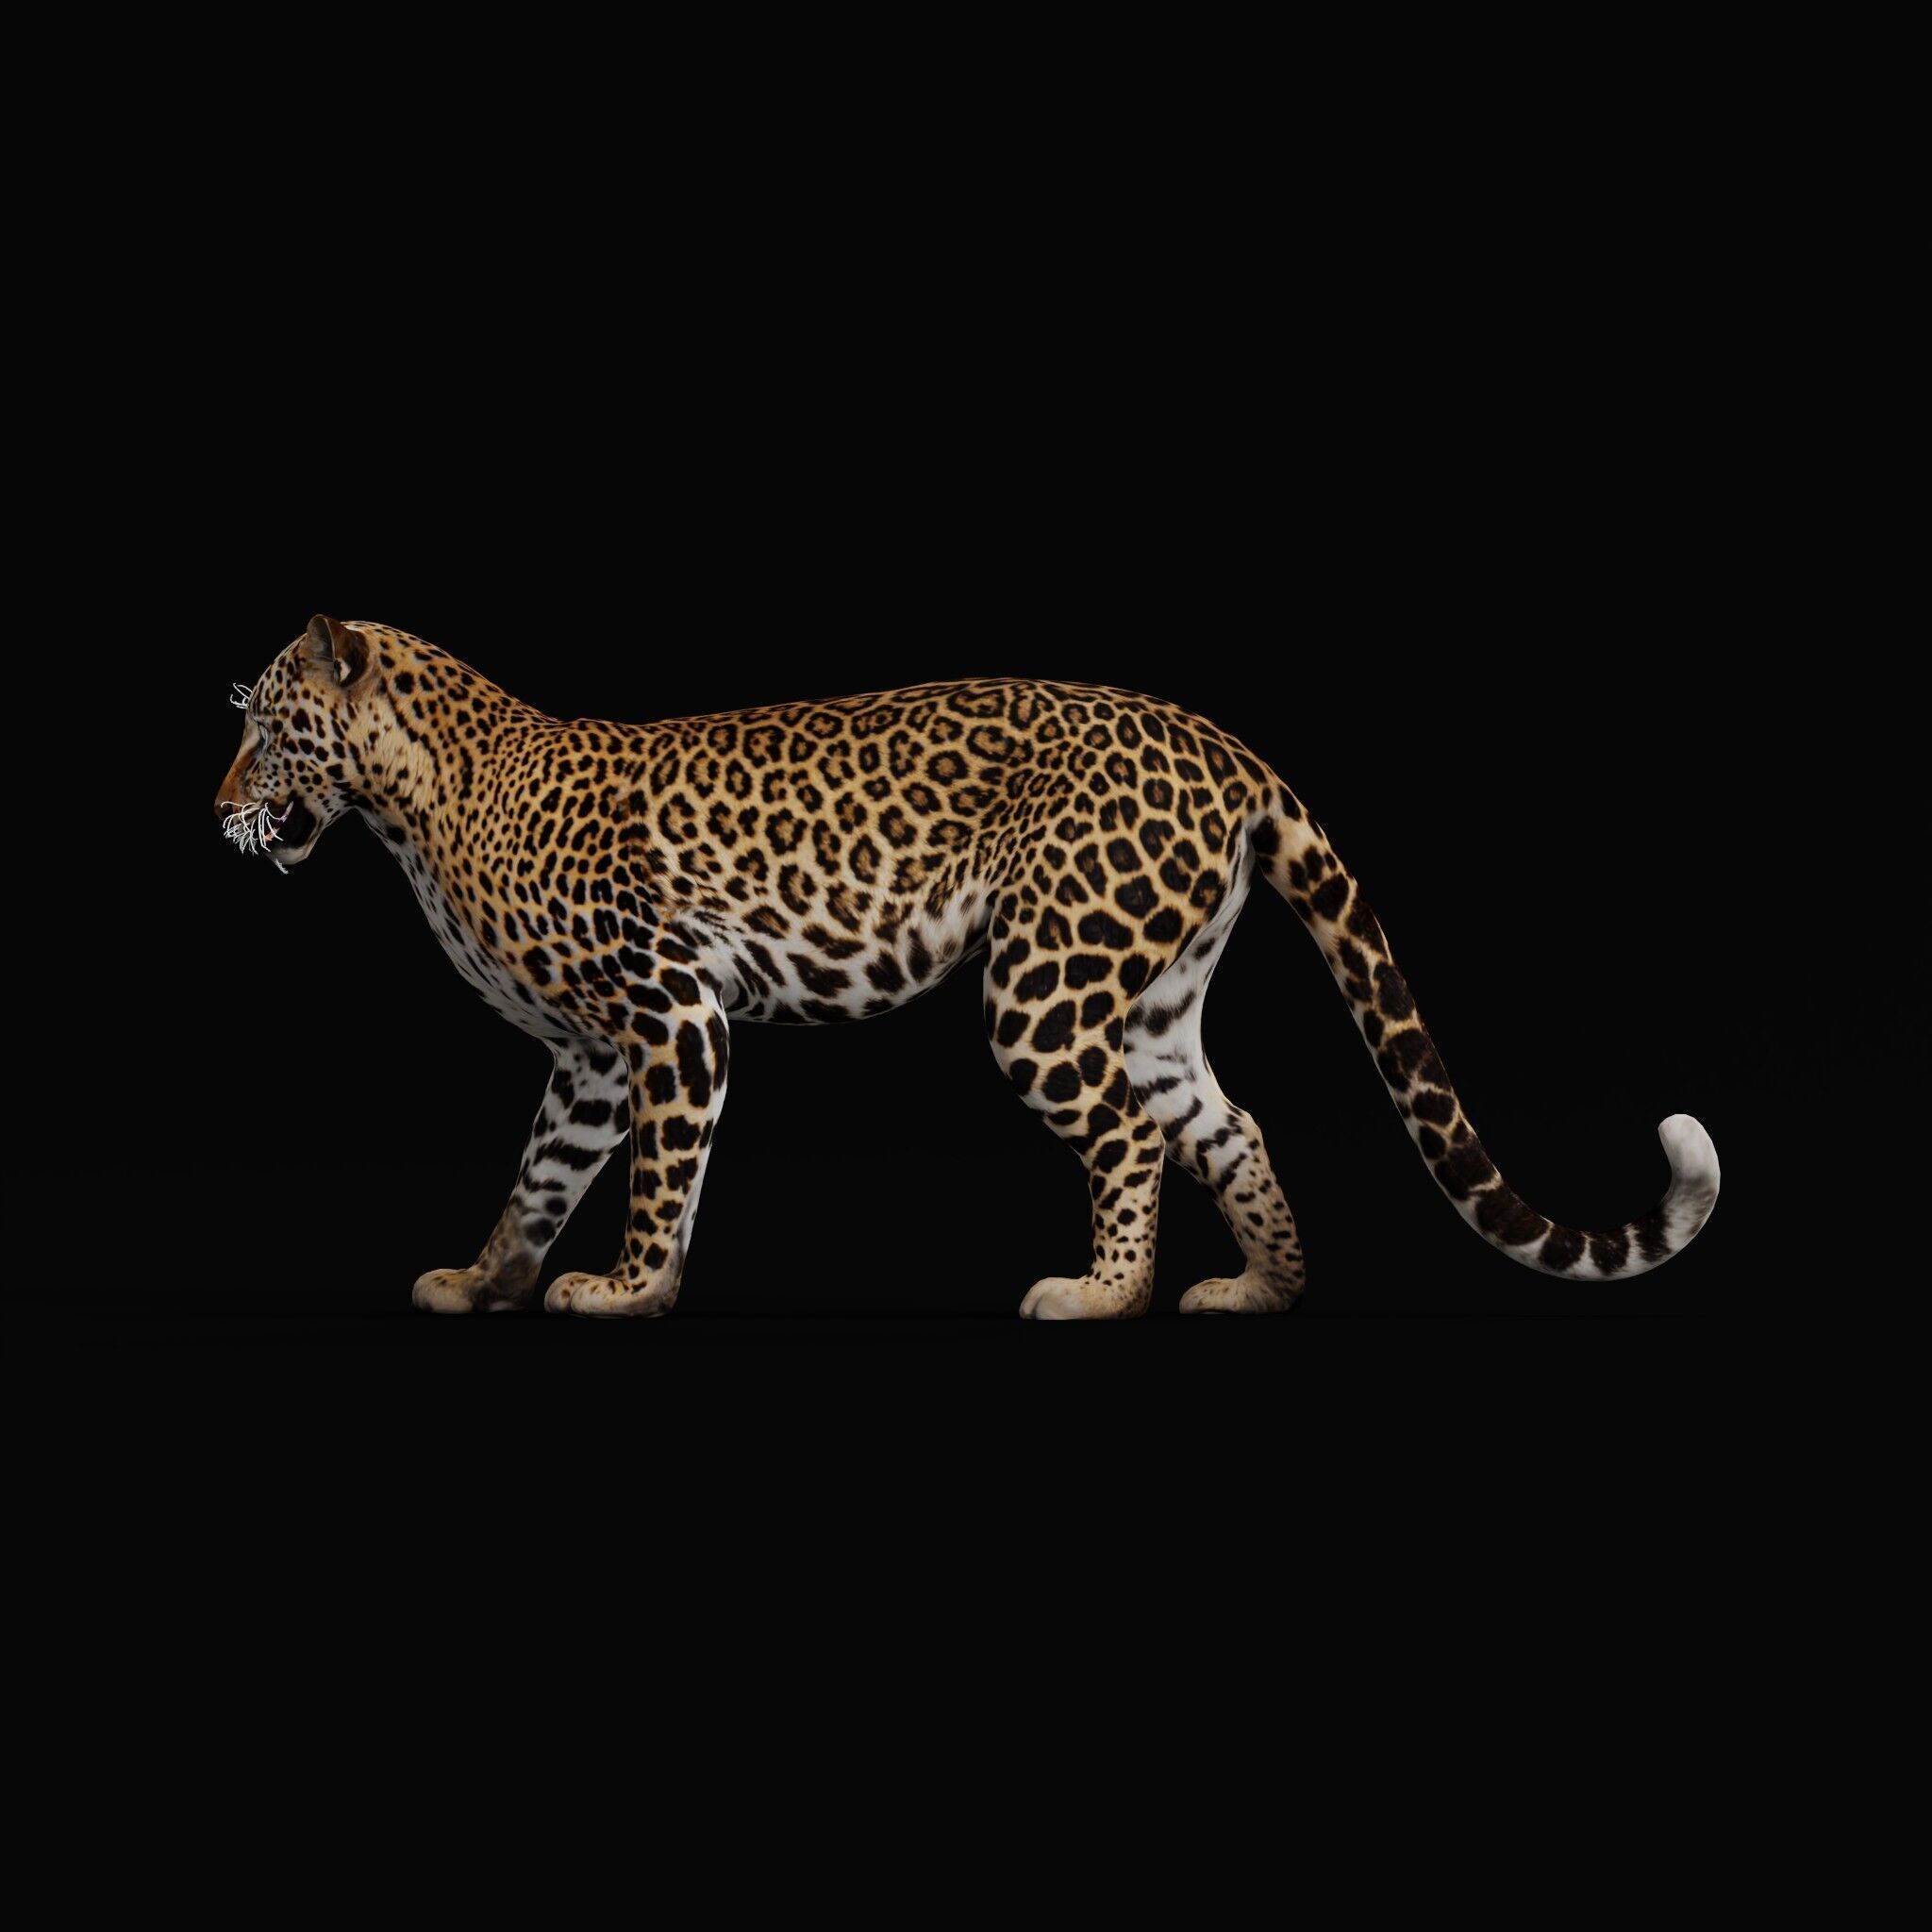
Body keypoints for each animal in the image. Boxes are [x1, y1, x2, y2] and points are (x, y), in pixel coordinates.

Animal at [215, 615, 1720, 1318]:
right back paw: (1259, 1289)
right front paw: (486, 1282)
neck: (410, 808)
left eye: (270, 728)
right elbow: (536, 1175)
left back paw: (1102, 1293)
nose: (216, 803)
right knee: (1227, 1121)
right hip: (1151, 991)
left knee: (1128, 1135)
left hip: (1044, 982)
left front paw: (631, 1288)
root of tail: (1227, 744)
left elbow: (656, 1173)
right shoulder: (589, 1053)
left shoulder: (672, 1009)